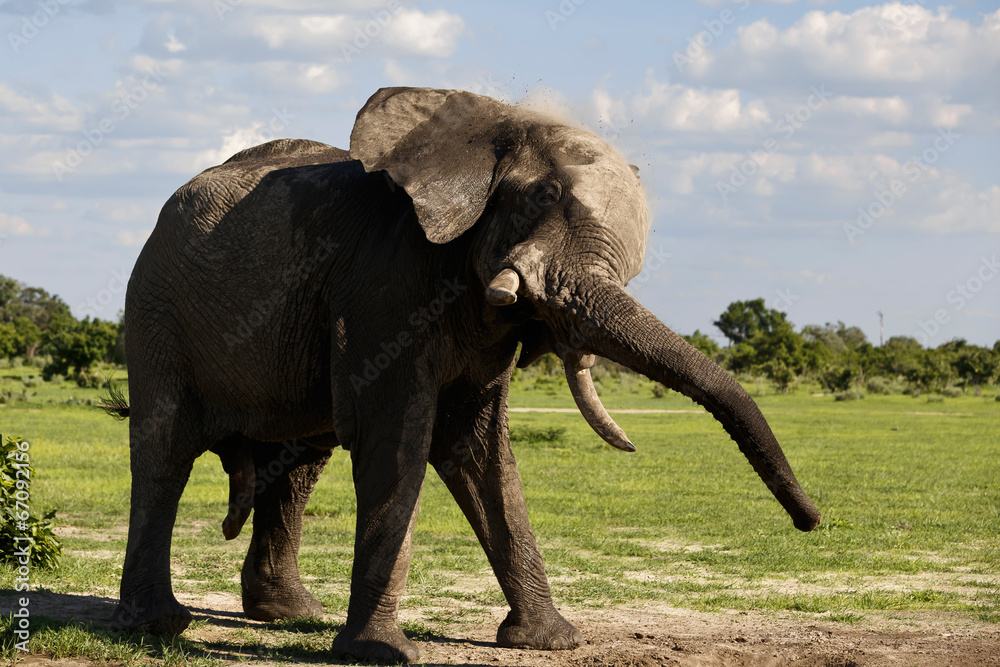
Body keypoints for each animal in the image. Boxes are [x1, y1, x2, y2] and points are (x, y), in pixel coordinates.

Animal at [107, 87, 820, 664]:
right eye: (544, 196)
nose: (813, 523)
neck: (496, 122)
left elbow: (479, 450)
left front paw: (552, 642)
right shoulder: (386, 281)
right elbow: (398, 440)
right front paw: (385, 654)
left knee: (301, 463)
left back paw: (290, 615)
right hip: (156, 308)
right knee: (166, 450)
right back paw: (158, 626)